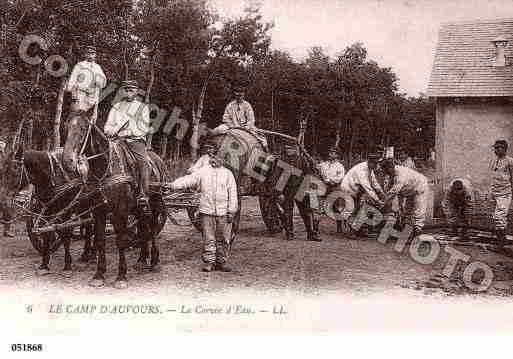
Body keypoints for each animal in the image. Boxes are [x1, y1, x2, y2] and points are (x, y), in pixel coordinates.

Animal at [61, 111, 167, 288]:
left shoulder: (120, 212)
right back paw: (141, 260)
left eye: (83, 129)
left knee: (152, 229)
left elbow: (120, 241)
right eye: (66, 127)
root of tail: (157, 159)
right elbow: (100, 240)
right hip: (139, 209)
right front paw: (98, 275)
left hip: (155, 204)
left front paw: (121, 277)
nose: (67, 162)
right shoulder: (99, 211)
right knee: (143, 228)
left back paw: (154, 261)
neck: (105, 166)